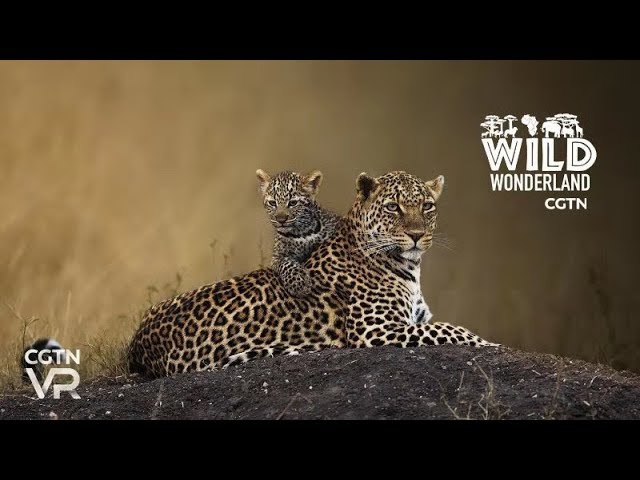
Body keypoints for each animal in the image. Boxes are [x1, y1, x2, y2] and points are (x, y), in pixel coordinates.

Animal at [130, 171, 498, 376]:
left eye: (427, 206)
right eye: (393, 207)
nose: (417, 235)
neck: (409, 268)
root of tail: (137, 343)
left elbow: (441, 326)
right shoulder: (373, 330)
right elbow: (451, 329)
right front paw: (488, 343)